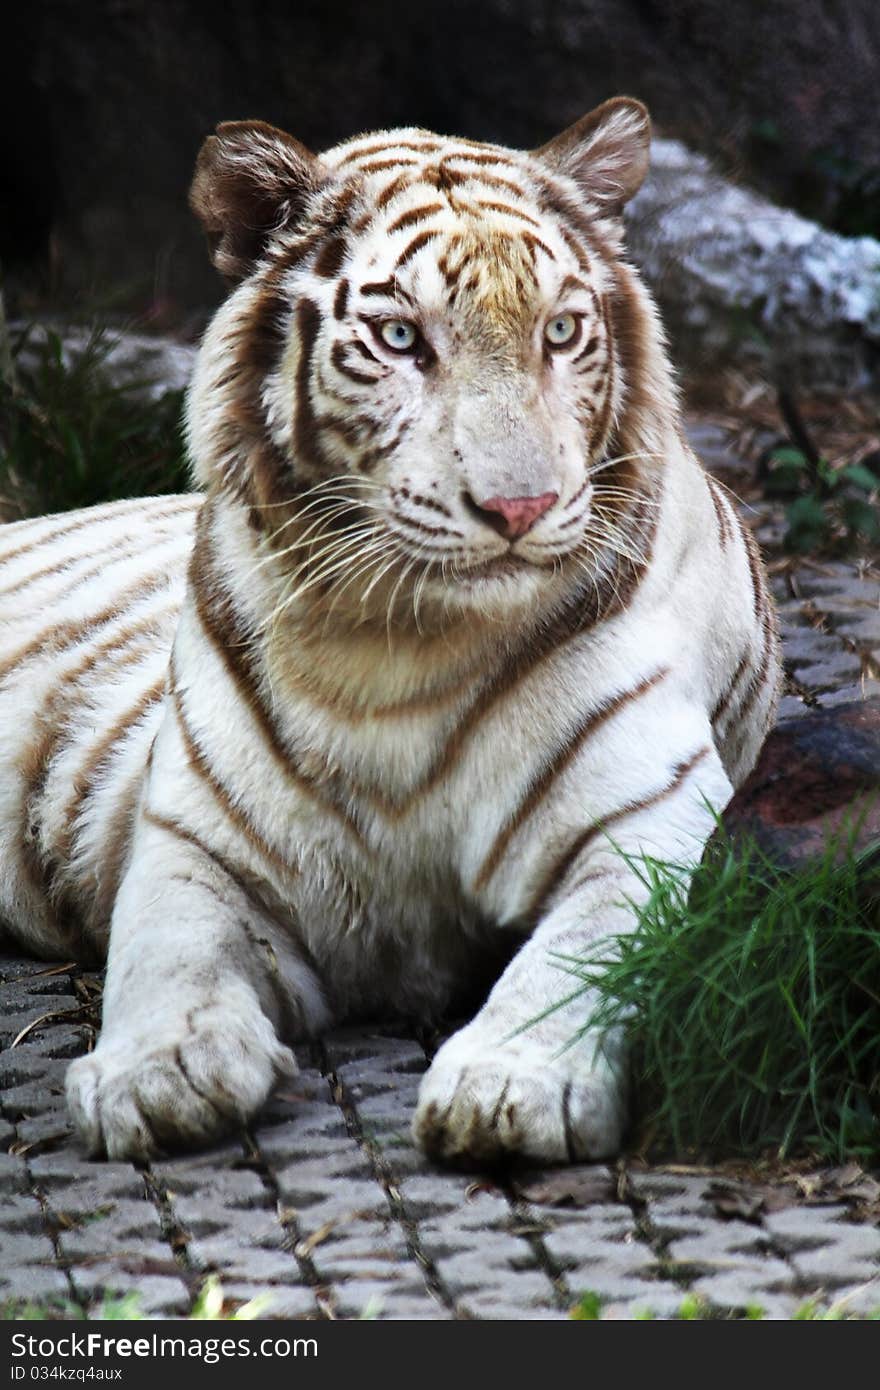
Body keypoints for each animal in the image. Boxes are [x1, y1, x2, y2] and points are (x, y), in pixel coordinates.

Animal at [0, 97, 778, 1162]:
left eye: (561, 331)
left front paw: (508, 1086)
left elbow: (586, 952)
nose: (522, 508)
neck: (392, 647)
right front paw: (159, 1074)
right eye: (403, 338)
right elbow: (166, 951)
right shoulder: (198, 837)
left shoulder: (639, 813)